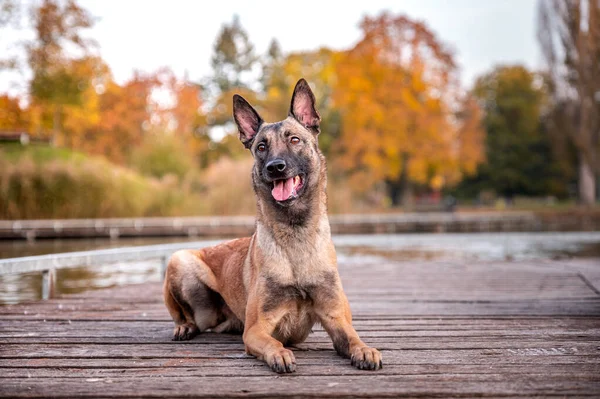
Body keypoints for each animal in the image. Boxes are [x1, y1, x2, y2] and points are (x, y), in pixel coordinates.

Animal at [162, 79, 382, 376]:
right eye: (261, 147)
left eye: (294, 139)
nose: (275, 167)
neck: (295, 234)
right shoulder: (257, 329)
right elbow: (273, 342)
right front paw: (280, 354)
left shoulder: (336, 317)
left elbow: (352, 337)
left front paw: (364, 349)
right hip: (179, 259)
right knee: (185, 316)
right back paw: (184, 327)